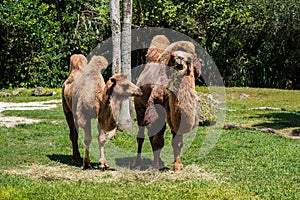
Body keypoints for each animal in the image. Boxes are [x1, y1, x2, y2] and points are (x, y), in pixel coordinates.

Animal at [132, 35, 200, 170]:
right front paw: (155, 166)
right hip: (139, 106)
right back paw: (137, 164)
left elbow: (177, 141)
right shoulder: (156, 108)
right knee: (142, 135)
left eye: (189, 59)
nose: (180, 59)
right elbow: (158, 140)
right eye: (173, 57)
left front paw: (178, 165)